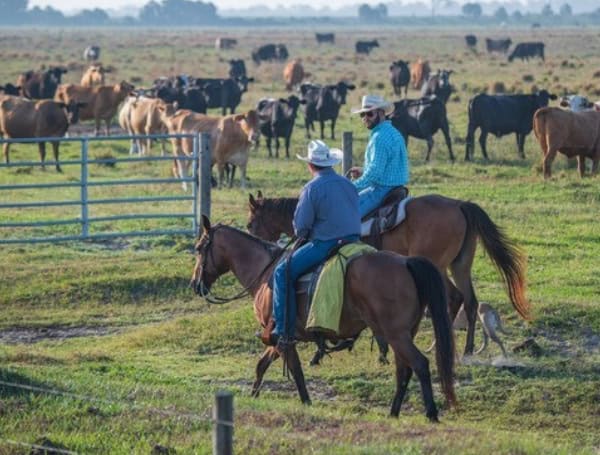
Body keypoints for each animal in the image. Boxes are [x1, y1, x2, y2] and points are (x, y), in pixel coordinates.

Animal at [191, 216, 454, 422]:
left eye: (199, 248)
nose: (195, 284)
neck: (265, 274)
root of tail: (406, 262)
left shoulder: (281, 337)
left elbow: (295, 371)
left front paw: (306, 403)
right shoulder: (279, 338)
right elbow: (262, 365)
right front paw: (254, 396)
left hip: (396, 334)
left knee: (419, 364)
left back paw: (431, 413)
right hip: (403, 334)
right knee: (404, 370)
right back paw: (393, 413)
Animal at [246, 190, 532, 356]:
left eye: (250, 223)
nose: (257, 243)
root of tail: (460, 205)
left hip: (436, 264)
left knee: (453, 298)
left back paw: (436, 344)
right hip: (460, 265)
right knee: (470, 301)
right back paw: (467, 349)